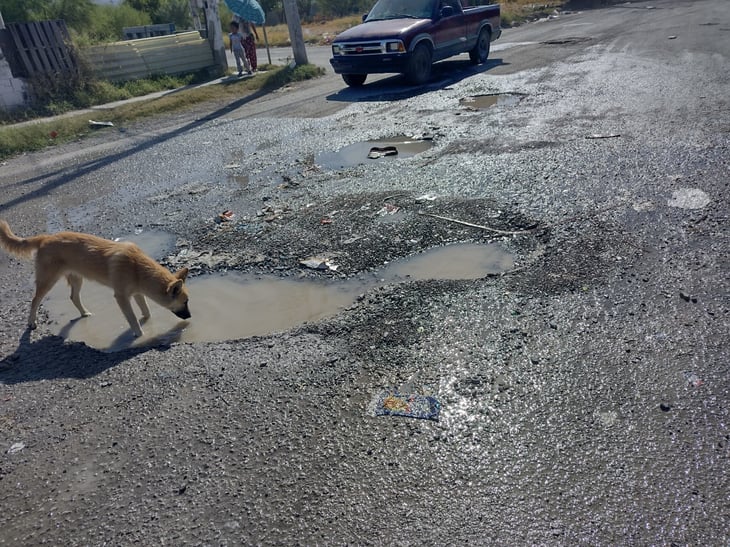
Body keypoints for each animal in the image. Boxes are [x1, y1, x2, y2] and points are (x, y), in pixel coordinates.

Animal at [0, 220, 191, 336]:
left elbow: (146, 311)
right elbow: (132, 318)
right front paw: (139, 334)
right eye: (185, 302)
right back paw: (31, 322)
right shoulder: (122, 297)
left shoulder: (137, 293)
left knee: (74, 297)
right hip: (48, 280)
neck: (137, 267)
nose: (189, 317)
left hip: (77, 279)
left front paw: (148, 322)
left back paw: (84, 313)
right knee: (34, 300)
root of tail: (45, 238)